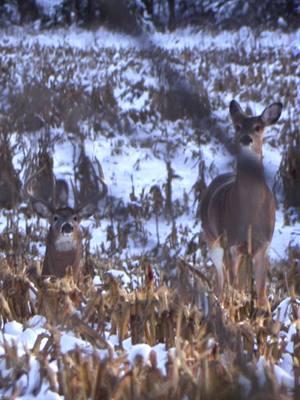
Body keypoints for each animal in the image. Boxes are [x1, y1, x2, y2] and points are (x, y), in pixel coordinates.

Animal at [200, 101, 282, 310]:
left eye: (258, 127)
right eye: (237, 126)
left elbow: (261, 293)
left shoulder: (264, 245)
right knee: (221, 281)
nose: (246, 138)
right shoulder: (231, 243)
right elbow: (235, 287)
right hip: (213, 240)